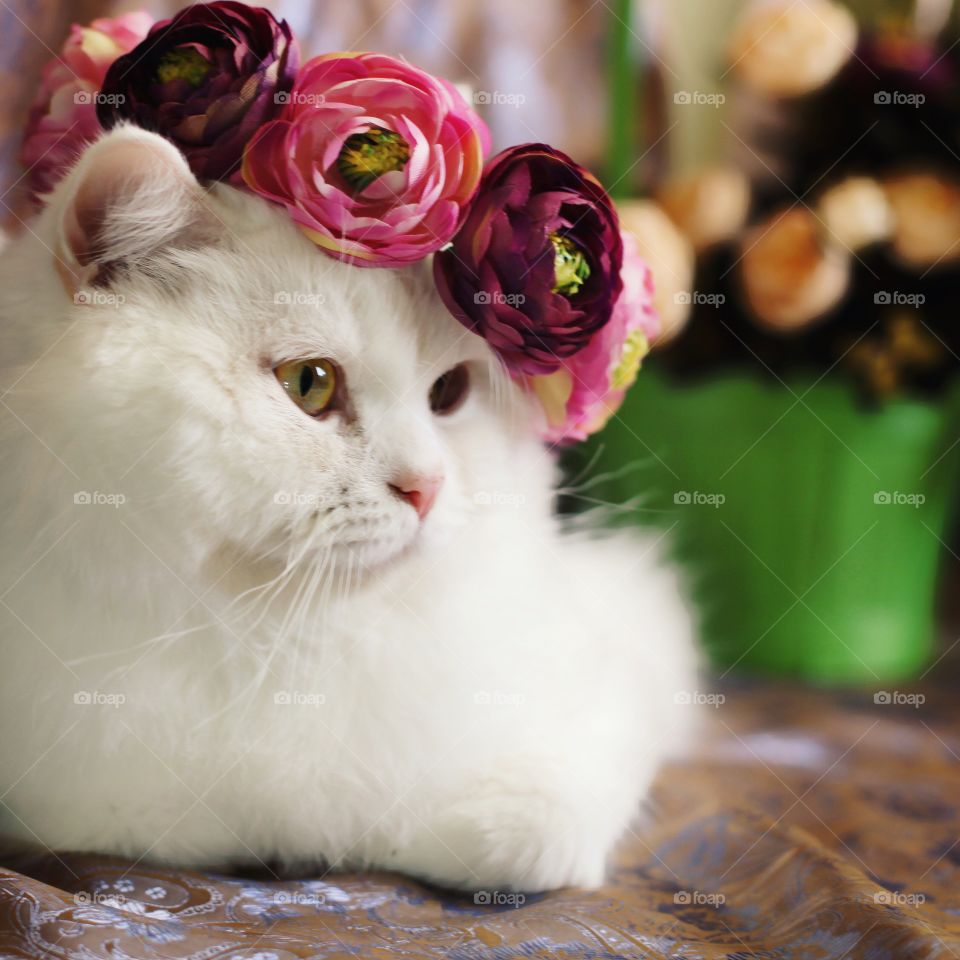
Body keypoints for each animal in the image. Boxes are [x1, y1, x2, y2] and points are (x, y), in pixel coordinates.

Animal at [0, 125, 692, 892]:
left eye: (448, 392)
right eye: (310, 383)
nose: (426, 487)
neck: (278, 638)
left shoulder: (630, 651)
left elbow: (531, 836)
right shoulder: (91, 810)